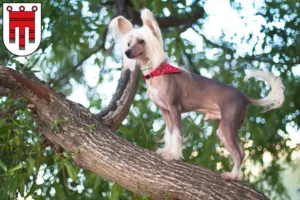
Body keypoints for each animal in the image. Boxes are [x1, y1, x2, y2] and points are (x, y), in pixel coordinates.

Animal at [109, 8, 284, 180]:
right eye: (128, 43)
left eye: (141, 41)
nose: (127, 52)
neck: (156, 73)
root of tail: (244, 97)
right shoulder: (165, 111)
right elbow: (171, 133)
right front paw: (168, 151)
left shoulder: (175, 108)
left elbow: (177, 133)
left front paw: (173, 155)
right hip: (223, 130)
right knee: (239, 152)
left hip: (227, 126)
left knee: (240, 153)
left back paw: (233, 176)